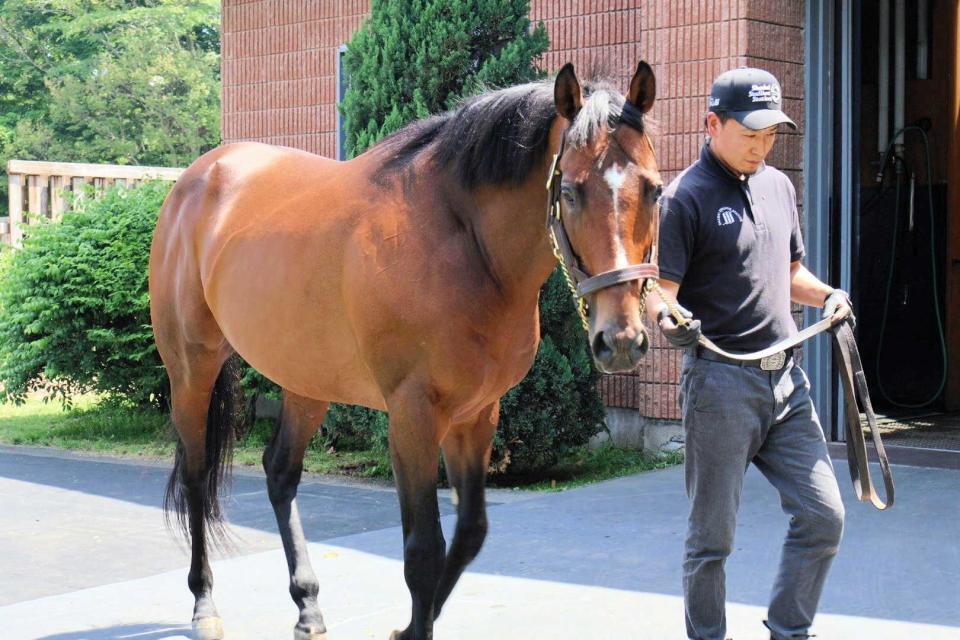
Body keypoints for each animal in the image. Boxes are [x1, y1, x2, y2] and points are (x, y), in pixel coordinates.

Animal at [148, 60, 662, 640]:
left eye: (654, 191)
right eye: (570, 192)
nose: (620, 340)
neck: (459, 242)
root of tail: (198, 177)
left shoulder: (476, 415)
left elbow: (469, 533)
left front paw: (408, 626)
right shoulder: (412, 416)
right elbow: (423, 550)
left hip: (307, 380)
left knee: (280, 473)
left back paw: (308, 605)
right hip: (191, 369)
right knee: (196, 474)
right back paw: (204, 603)